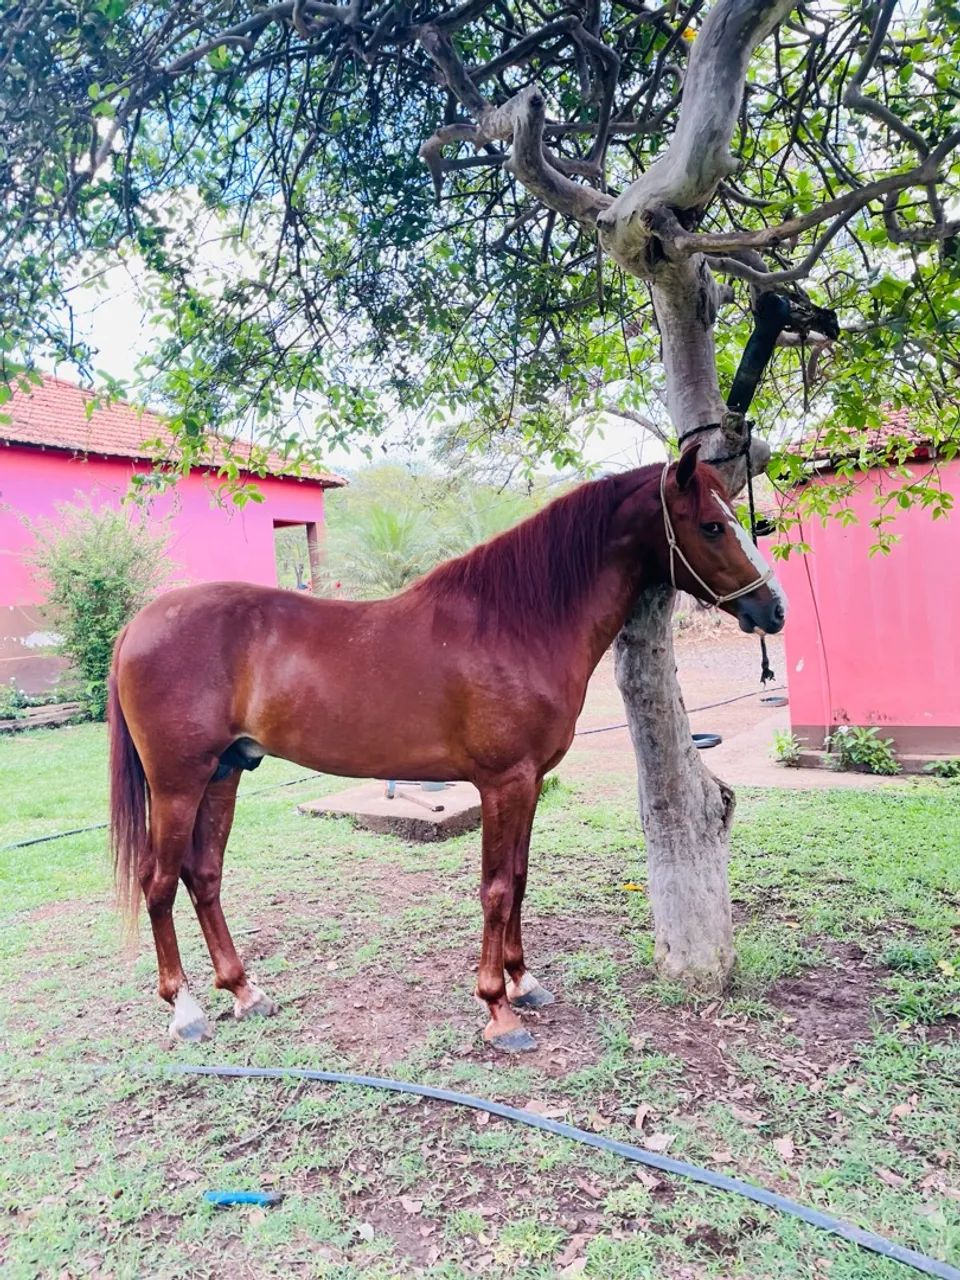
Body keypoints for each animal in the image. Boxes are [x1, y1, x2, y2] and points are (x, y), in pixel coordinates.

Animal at [109, 444, 785, 1052]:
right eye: (712, 526)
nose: (773, 610)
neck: (517, 624)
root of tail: (139, 624)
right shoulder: (502, 782)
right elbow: (495, 888)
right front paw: (497, 1011)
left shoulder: (529, 782)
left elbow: (518, 877)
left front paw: (523, 982)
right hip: (177, 784)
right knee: (158, 883)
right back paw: (186, 1010)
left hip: (225, 773)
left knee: (204, 875)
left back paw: (244, 991)